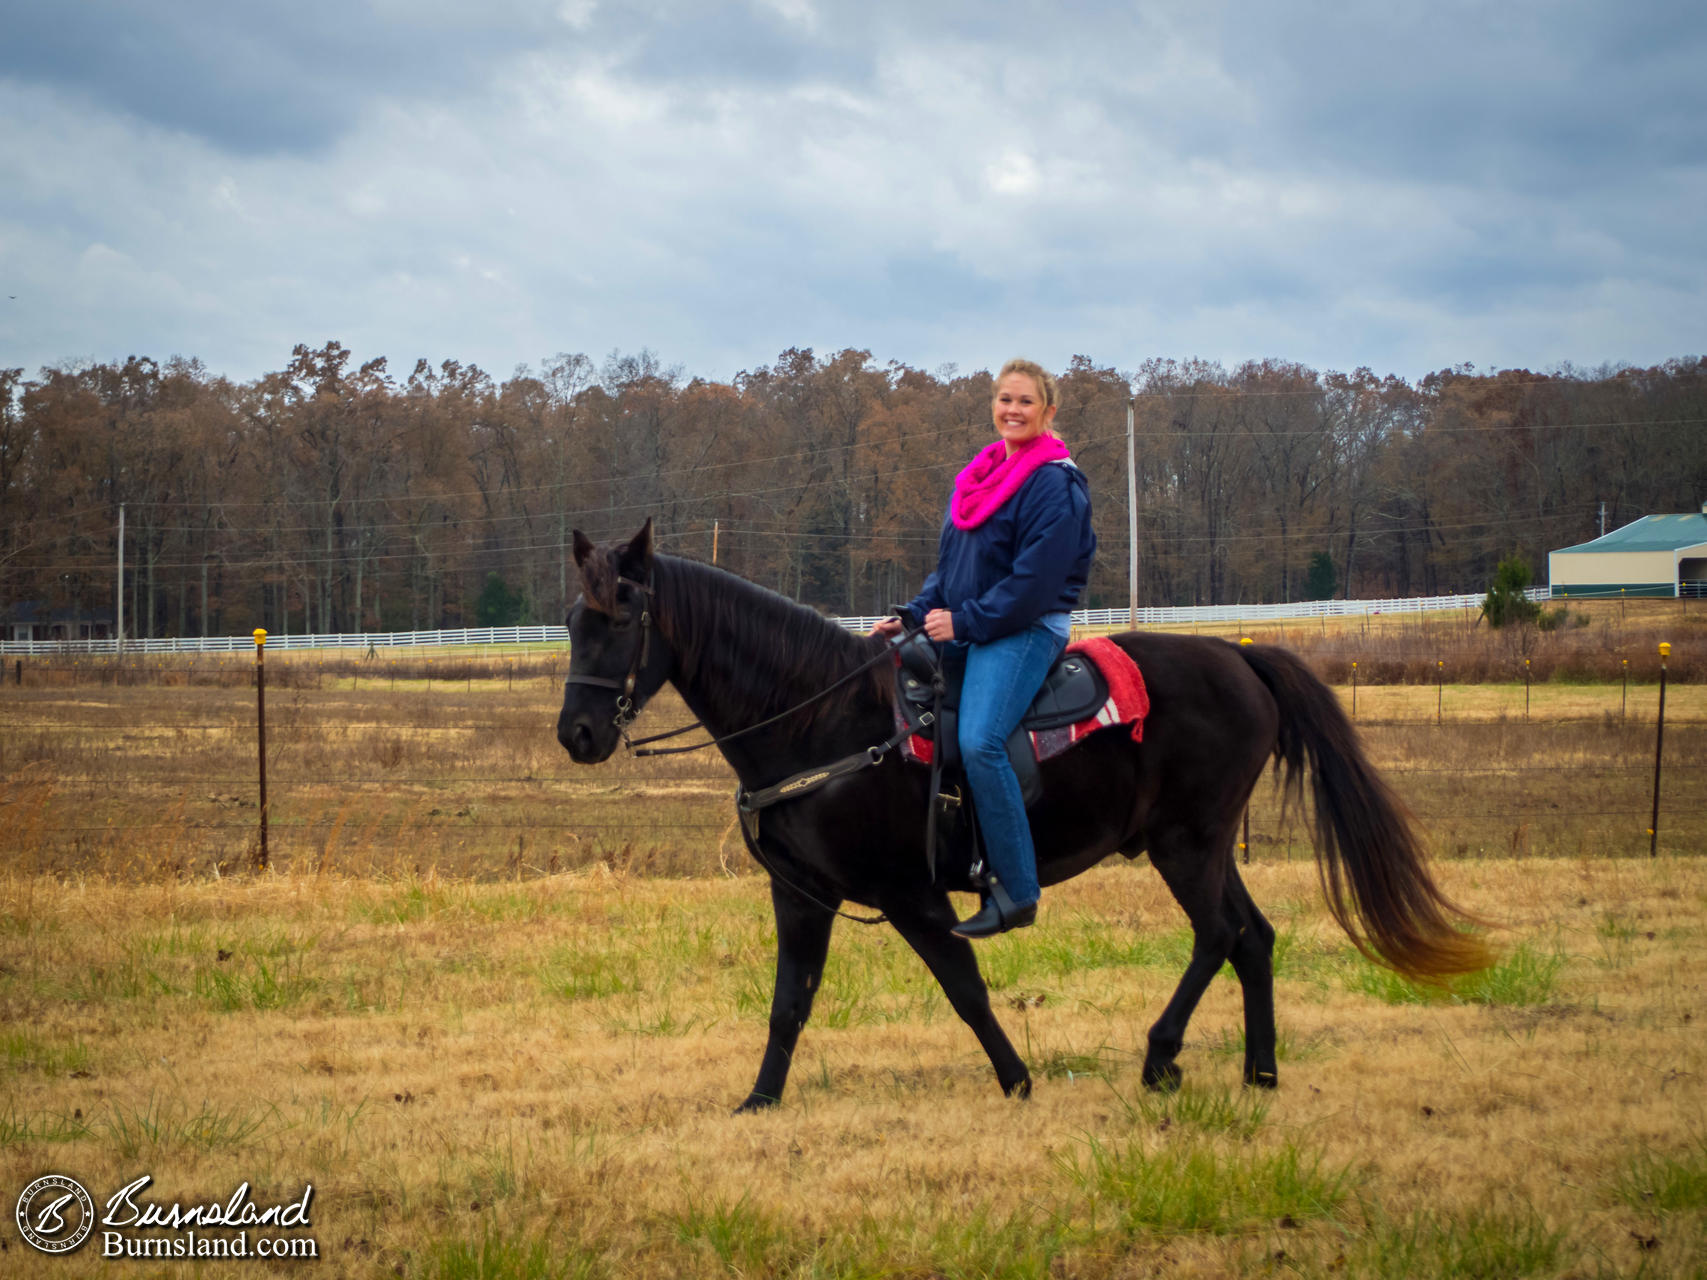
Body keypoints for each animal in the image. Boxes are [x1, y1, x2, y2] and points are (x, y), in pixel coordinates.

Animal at [556, 525, 1481, 1119]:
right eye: (571, 620)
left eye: (625, 615)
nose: (578, 734)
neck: (823, 721)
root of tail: (1239, 655)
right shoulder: (803, 896)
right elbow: (790, 1002)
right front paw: (759, 1099)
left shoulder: (912, 897)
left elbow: (963, 988)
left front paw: (1016, 1080)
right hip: (1208, 844)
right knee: (1252, 937)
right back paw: (1258, 1072)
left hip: (1186, 845)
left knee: (1217, 935)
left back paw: (1159, 1056)